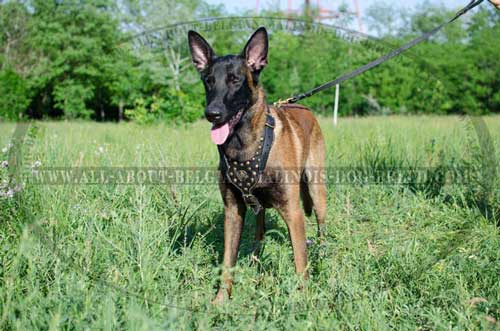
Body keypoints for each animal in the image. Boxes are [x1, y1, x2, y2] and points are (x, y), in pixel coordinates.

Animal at [188, 27, 328, 304]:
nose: (212, 114)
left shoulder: (293, 212)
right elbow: (227, 262)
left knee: (321, 227)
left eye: (235, 80)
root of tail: (305, 107)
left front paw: (304, 301)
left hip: (317, 191)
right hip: (258, 207)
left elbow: (300, 263)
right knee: (259, 235)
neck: (243, 145)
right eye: (209, 81)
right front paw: (221, 300)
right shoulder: (233, 211)